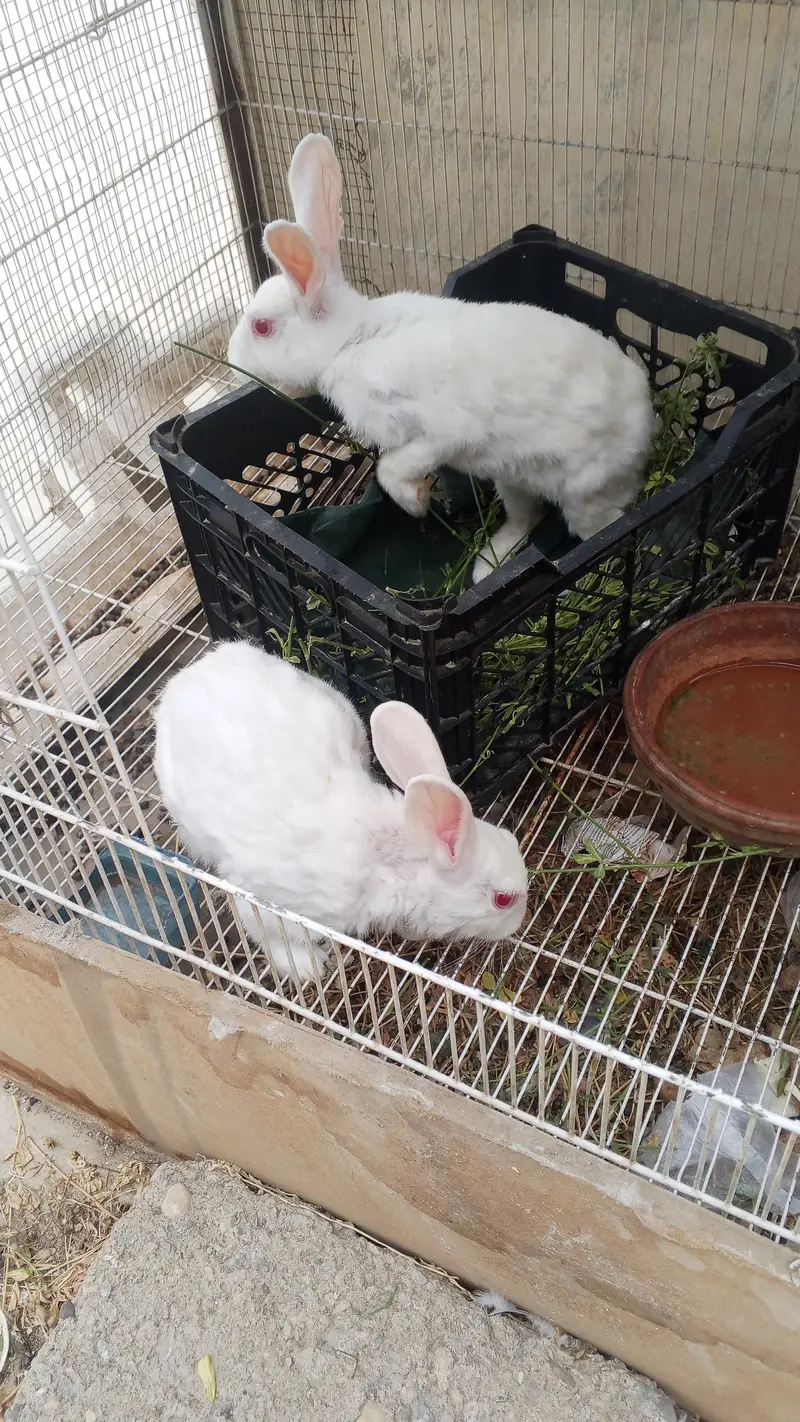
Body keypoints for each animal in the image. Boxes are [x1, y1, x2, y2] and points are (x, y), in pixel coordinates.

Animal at [153, 640, 528, 982]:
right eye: (503, 899)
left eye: (512, 839)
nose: (519, 921)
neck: (393, 862)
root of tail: (190, 674)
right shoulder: (265, 900)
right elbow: (270, 934)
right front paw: (308, 968)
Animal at [227, 134, 657, 584]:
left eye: (261, 327)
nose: (230, 356)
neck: (350, 340)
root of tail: (648, 423)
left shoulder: (439, 434)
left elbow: (390, 468)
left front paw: (416, 502)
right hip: (513, 479)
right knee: (528, 516)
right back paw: (488, 565)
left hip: (584, 496)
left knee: (605, 529)